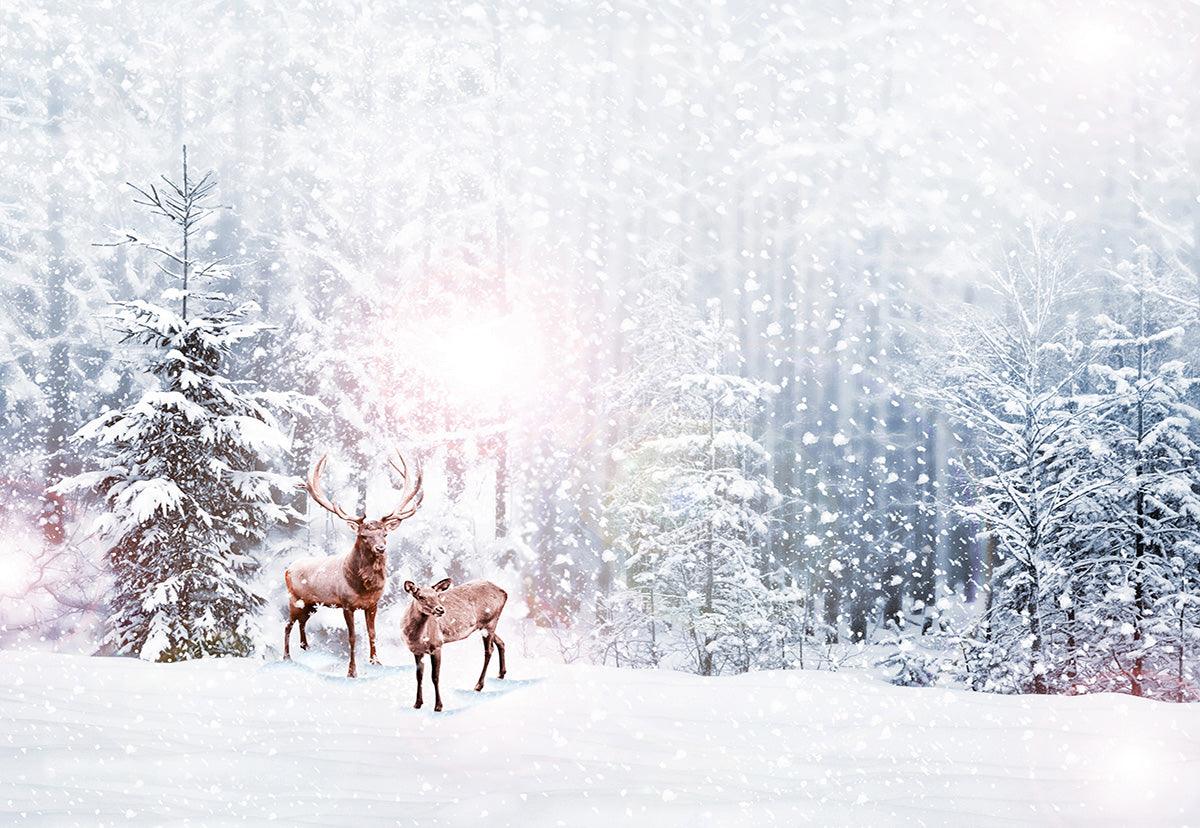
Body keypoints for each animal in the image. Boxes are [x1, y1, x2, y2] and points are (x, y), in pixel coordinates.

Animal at [283, 451, 423, 677]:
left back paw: (306, 649)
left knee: (302, 623)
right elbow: (352, 637)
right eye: (364, 535)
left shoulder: (373, 603)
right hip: (295, 599)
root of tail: (288, 568)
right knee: (288, 625)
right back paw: (286, 657)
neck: (364, 587)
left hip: (311, 604)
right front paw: (351, 671)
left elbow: (372, 632)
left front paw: (376, 662)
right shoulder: (346, 604)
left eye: (385, 534)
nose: (380, 548)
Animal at [402, 578, 508, 711]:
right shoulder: (417, 651)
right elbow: (419, 676)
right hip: (484, 626)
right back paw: (501, 674)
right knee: (501, 642)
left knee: (489, 650)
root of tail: (504, 593)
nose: (440, 609)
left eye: (437, 595)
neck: (416, 637)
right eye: (420, 596)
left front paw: (438, 706)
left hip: (490, 622)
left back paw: (478, 685)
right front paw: (417, 704)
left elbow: (435, 676)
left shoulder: (437, 645)